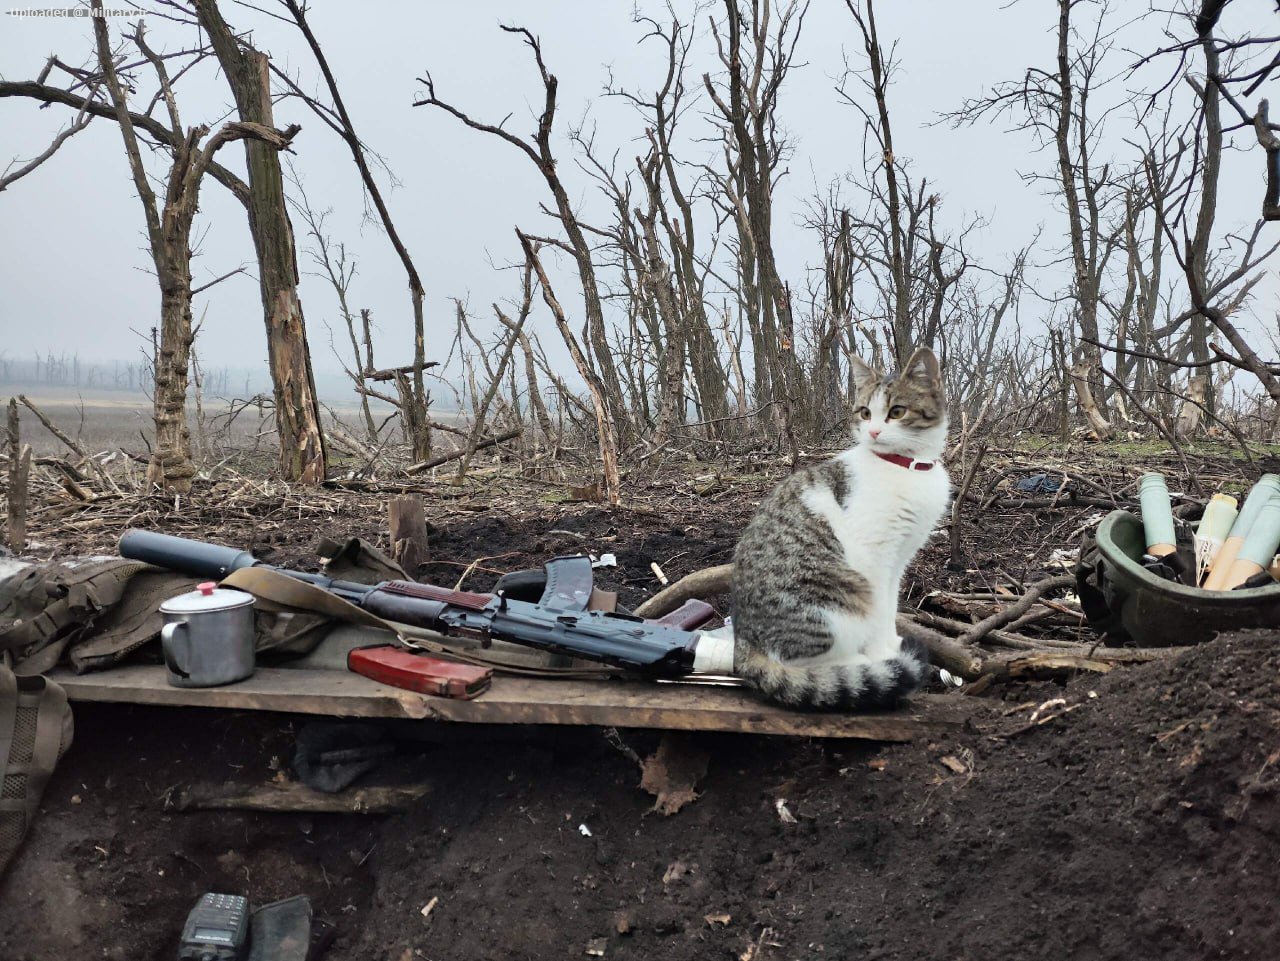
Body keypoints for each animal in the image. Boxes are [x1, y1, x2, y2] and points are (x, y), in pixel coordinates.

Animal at [732, 350, 952, 711]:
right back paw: (855, 667)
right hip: (837, 601)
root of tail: (742, 642)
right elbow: (880, 610)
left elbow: (890, 607)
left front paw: (891, 645)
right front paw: (882, 655)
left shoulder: (899, 559)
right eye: (865, 412)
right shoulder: (875, 556)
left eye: (897, 411)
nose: (873, 432)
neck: (906, 467)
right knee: (799, 661)